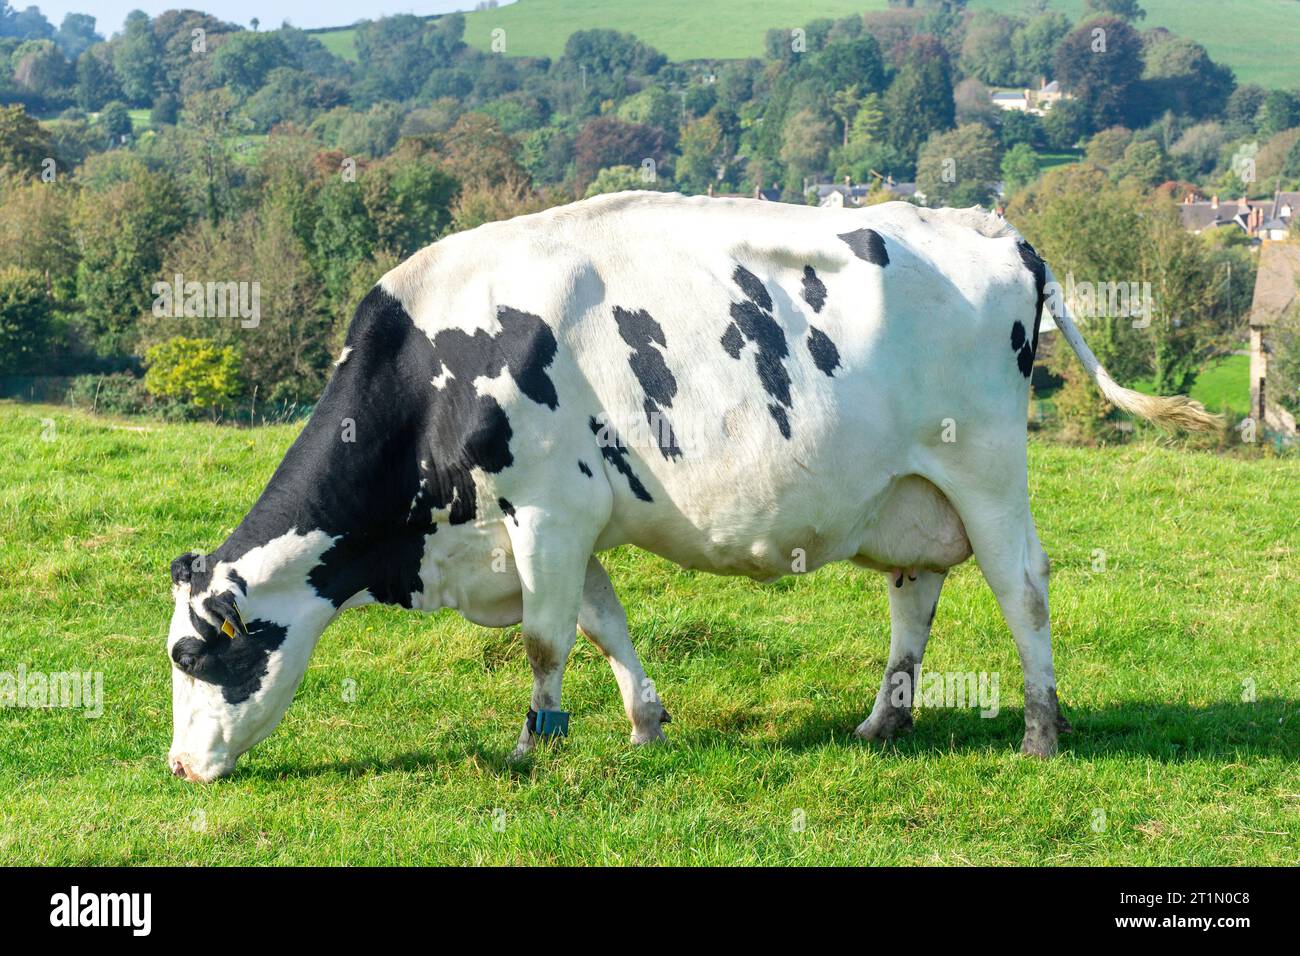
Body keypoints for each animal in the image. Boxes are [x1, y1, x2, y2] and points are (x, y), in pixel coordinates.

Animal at [165, 191, 1216, 780]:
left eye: (191, 656)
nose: (178, 766)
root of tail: (990, 226)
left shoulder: (545, 510)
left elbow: (546, 641)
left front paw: (534, 748)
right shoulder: (565, 522)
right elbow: (603, 626)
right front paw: (645, 728)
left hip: (987, 471)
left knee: (1023, 587)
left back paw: (1040, 731)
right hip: (911, 488)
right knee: (914, 595)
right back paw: (884, 721)